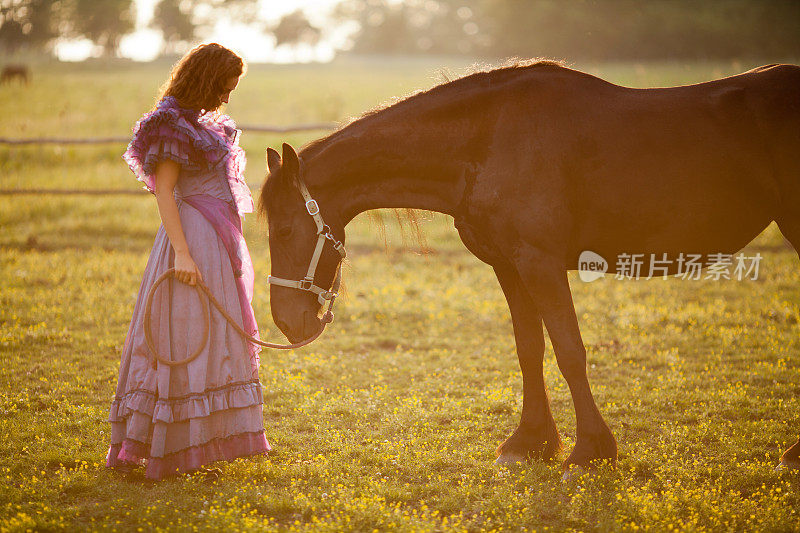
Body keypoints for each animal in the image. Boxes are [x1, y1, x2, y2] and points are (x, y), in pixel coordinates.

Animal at [260, 61, 796, 470]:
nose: (288, 322)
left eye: (283, 231)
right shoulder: (510, 267)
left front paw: (590, 451)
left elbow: (570, 352)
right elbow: (529, 349)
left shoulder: (541, 264)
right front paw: (531, 442)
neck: (487, 142)